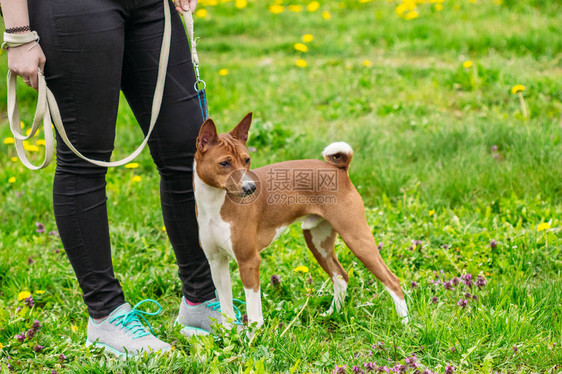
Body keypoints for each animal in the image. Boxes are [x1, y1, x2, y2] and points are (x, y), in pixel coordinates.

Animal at [192, 112, 406, 328]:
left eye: (247, 160)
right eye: (224, 163)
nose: (250, 188)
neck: (214, 206)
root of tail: (339, 168)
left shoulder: (249, 261)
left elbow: (254, 316)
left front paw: (253, 336)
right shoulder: (217, 262)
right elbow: (226, 310)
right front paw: (229, 335)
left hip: (357, 239)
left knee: (392, 281)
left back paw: (404, 323)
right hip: (317, 242)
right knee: (341, 277)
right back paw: (332, 314)